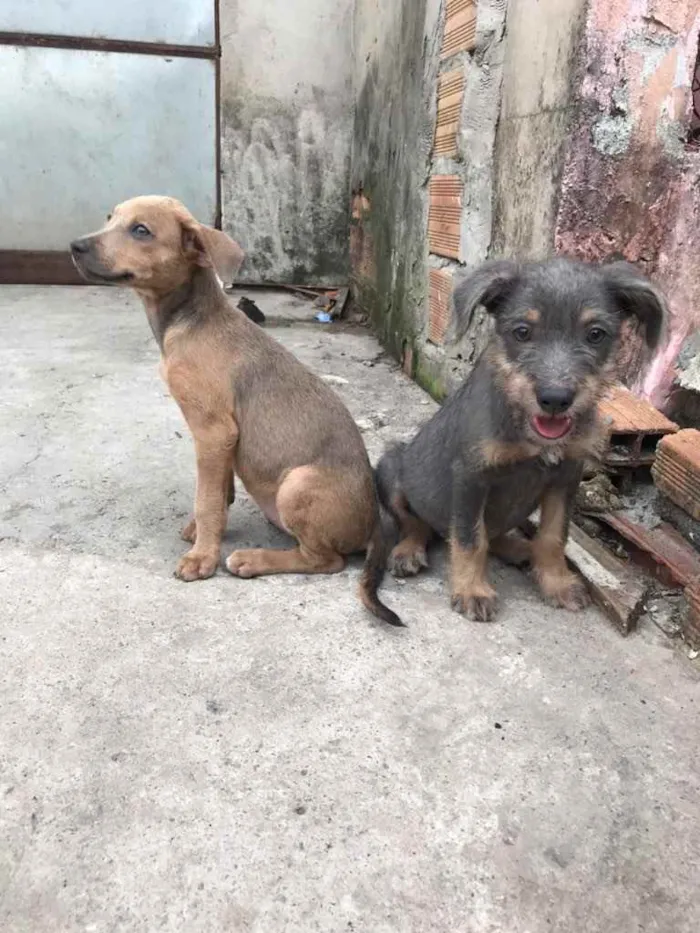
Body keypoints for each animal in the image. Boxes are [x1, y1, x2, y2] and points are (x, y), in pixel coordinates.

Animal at [71, 196, 402, 628]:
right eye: (110, 218)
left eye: (141, 230)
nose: (74, 246)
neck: (190, 319)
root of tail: (374, 524)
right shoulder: (223, 437)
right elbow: (220, 492)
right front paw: (202, 531)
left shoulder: (212, 431)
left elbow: (207, 499)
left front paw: (202, 557)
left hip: (297, 484)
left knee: (327, 561)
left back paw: (252, 559)